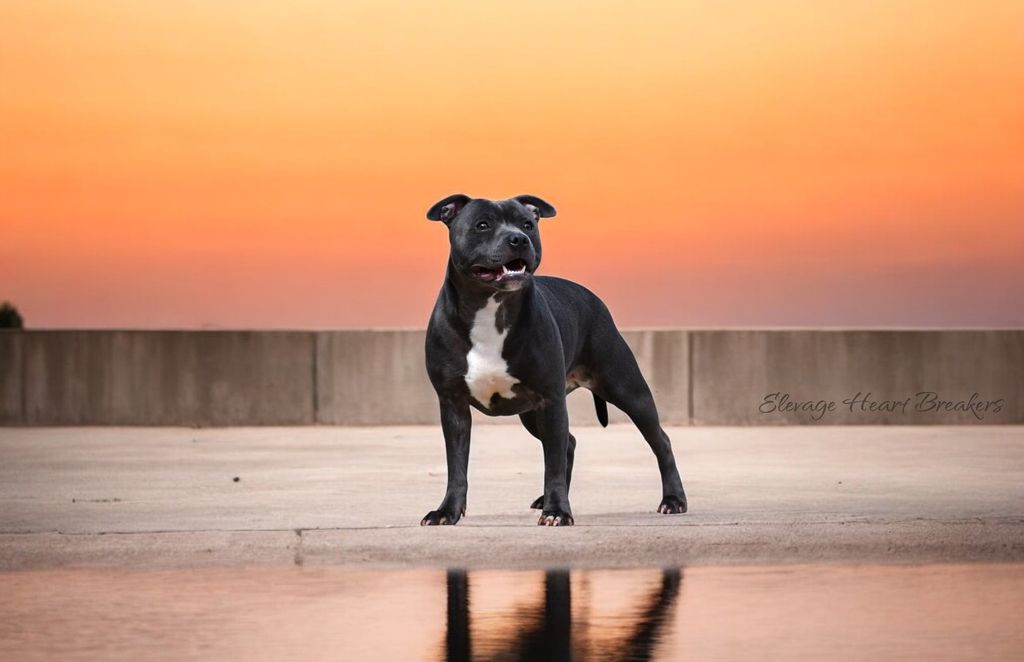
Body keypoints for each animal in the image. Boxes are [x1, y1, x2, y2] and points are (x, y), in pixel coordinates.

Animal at [415, 193, 688, 528]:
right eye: (482, 225)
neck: (492, 308)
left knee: (660, 440)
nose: (518, 239)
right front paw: (447, 512)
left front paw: (558, 510)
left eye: (527, 225)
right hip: (532, 413)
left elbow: (552, 463)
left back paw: (673, 499)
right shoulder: (453, 404)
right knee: (568, 442)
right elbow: (456, 467)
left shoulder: (551, 400)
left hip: (627, 390)